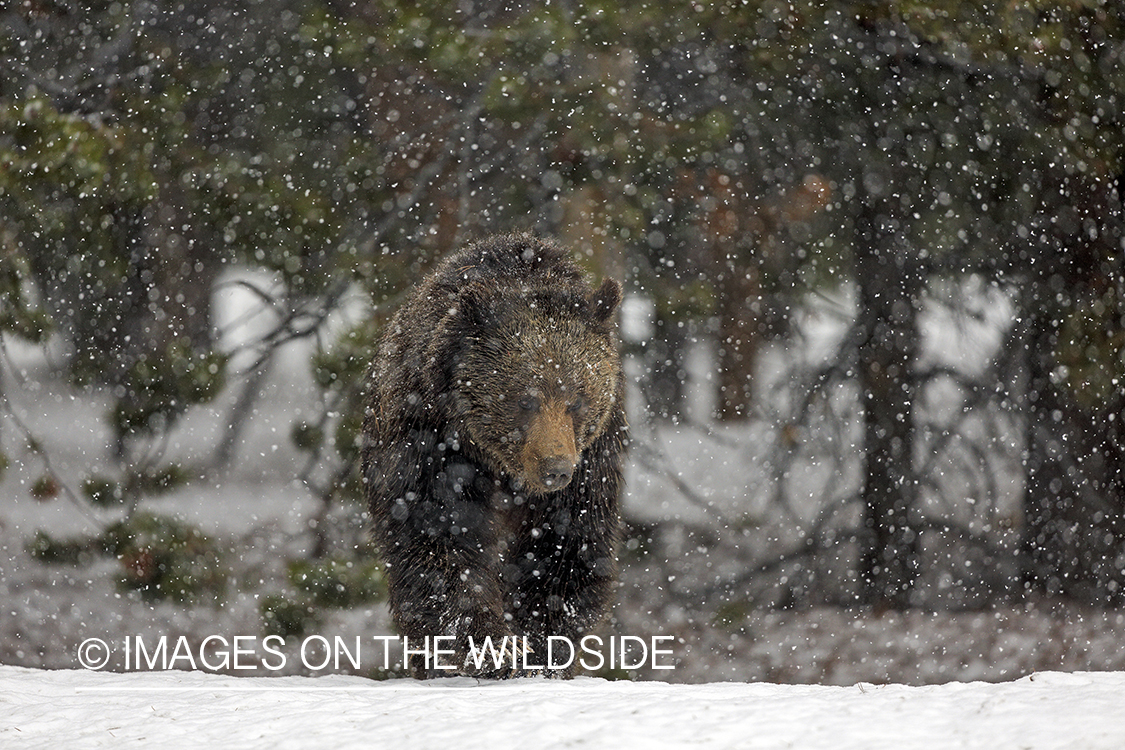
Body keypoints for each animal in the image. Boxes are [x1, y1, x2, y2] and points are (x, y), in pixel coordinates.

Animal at [360, 235, 625, 679]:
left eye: (577, 399)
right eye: (525, 399)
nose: (555, 469)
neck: (502, 468)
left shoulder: (591, 465)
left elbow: (565, 552)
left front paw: (542, 651)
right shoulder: (433, 444)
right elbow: (441, 543)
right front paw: (497, 649)